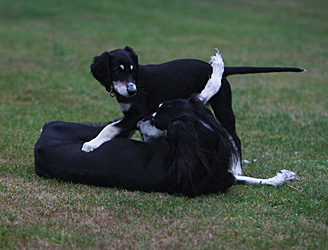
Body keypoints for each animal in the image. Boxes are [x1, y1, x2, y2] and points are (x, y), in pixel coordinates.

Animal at [34, 96, 296, 196]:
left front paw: (281, 177)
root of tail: (39, 148)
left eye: (158, 117)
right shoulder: (223, 179)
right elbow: (246, 179)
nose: (141, 122)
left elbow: (250, 178)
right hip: (76, 127)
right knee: (113, 127)